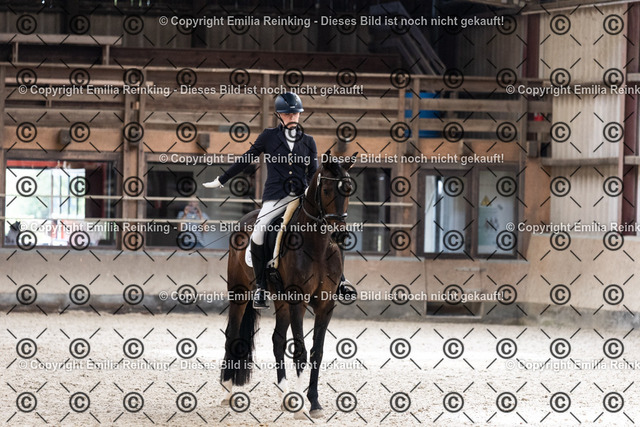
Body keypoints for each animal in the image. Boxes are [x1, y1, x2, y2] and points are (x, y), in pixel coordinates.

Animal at [220, 149, 356, 418]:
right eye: (326, 190)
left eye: (348, 190)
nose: (340, 235)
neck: (317, 245)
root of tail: (246, 219)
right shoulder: (298, 302)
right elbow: (301, 351)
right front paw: (302, 406)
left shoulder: (325, 306)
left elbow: (316, 352)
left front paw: (313, 403)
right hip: (240, 293)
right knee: (233, 333)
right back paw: (228, 389)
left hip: (280, 300)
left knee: (277, 340)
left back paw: (286, 395)